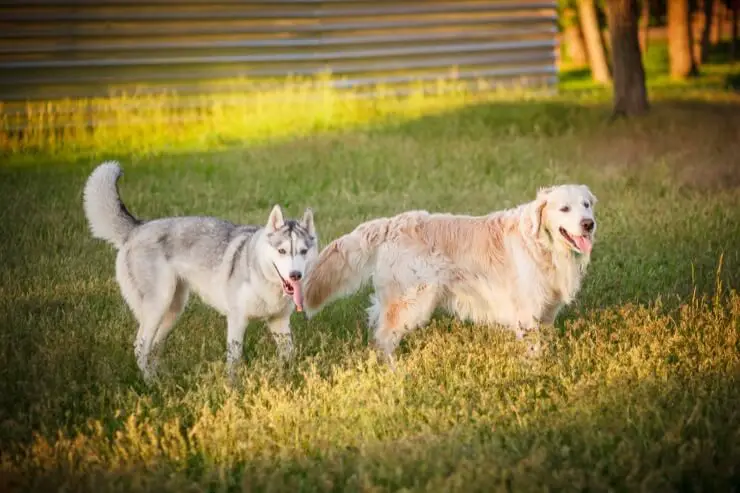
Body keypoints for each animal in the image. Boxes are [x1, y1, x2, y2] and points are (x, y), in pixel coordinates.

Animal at [81, 161, 318, 380]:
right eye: (282, 251)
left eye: (303, 251)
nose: (295, 275)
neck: (265, 279)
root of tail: (137, 228)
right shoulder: (237, 321)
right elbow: (234, 361)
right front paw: (233, 388)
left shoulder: (279, 322)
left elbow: (289, 356)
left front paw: (289, 380)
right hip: (158, 305)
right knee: (140, 348)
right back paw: (151, 384)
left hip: (173, 309)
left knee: (154, 347)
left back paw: (162, 380)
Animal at [304, 184, 600, 362]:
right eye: (564, 208)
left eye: (586, 204)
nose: (589, 224)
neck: (542, 244)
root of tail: (391, 224)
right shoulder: (527, 313)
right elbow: (533, 349)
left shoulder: (546, 312)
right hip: (414, 301)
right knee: (384, 337)